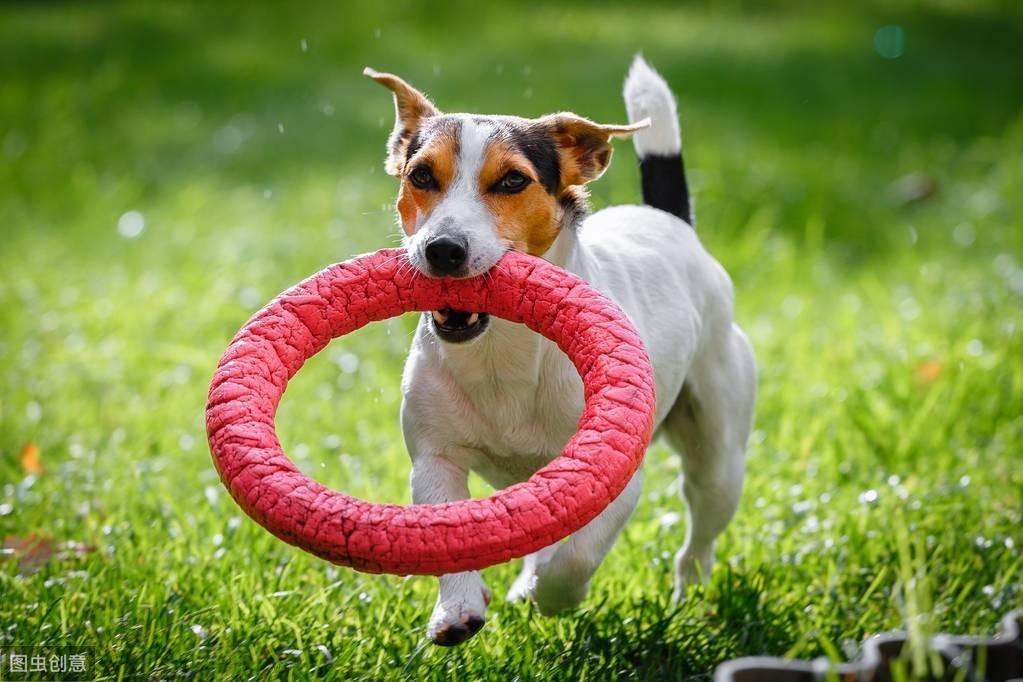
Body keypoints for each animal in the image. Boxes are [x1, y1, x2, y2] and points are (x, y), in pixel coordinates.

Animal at [364, 54, 757, 646]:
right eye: (421, 176)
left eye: (512, 180)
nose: (442, 249)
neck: (501, 353)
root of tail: (672, 224)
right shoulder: (435, 457)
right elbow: (446, 524)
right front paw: (457, 608)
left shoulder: (616, 478)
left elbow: (575, 559)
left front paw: (542, 593)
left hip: (719, 455)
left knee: (699, 536)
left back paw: (688, 591)